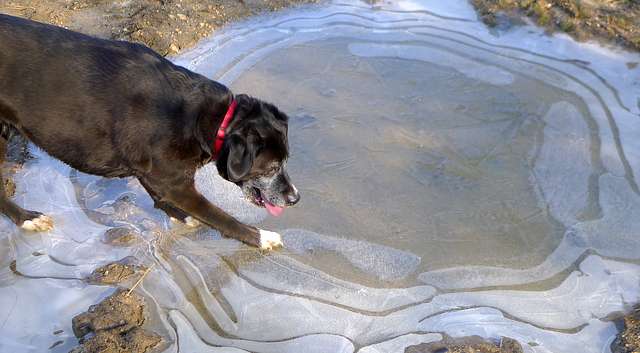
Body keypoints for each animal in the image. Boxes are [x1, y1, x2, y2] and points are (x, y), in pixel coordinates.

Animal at [0, 14, 300, 248]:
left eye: (286, 161)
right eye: (272, 167)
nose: (295, 199)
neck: (207, 119)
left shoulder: (154, 172)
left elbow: (158, 196)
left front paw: (181, 216)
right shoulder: (176, 183)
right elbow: (220, 216)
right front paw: (261, 238)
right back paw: (27, 219)